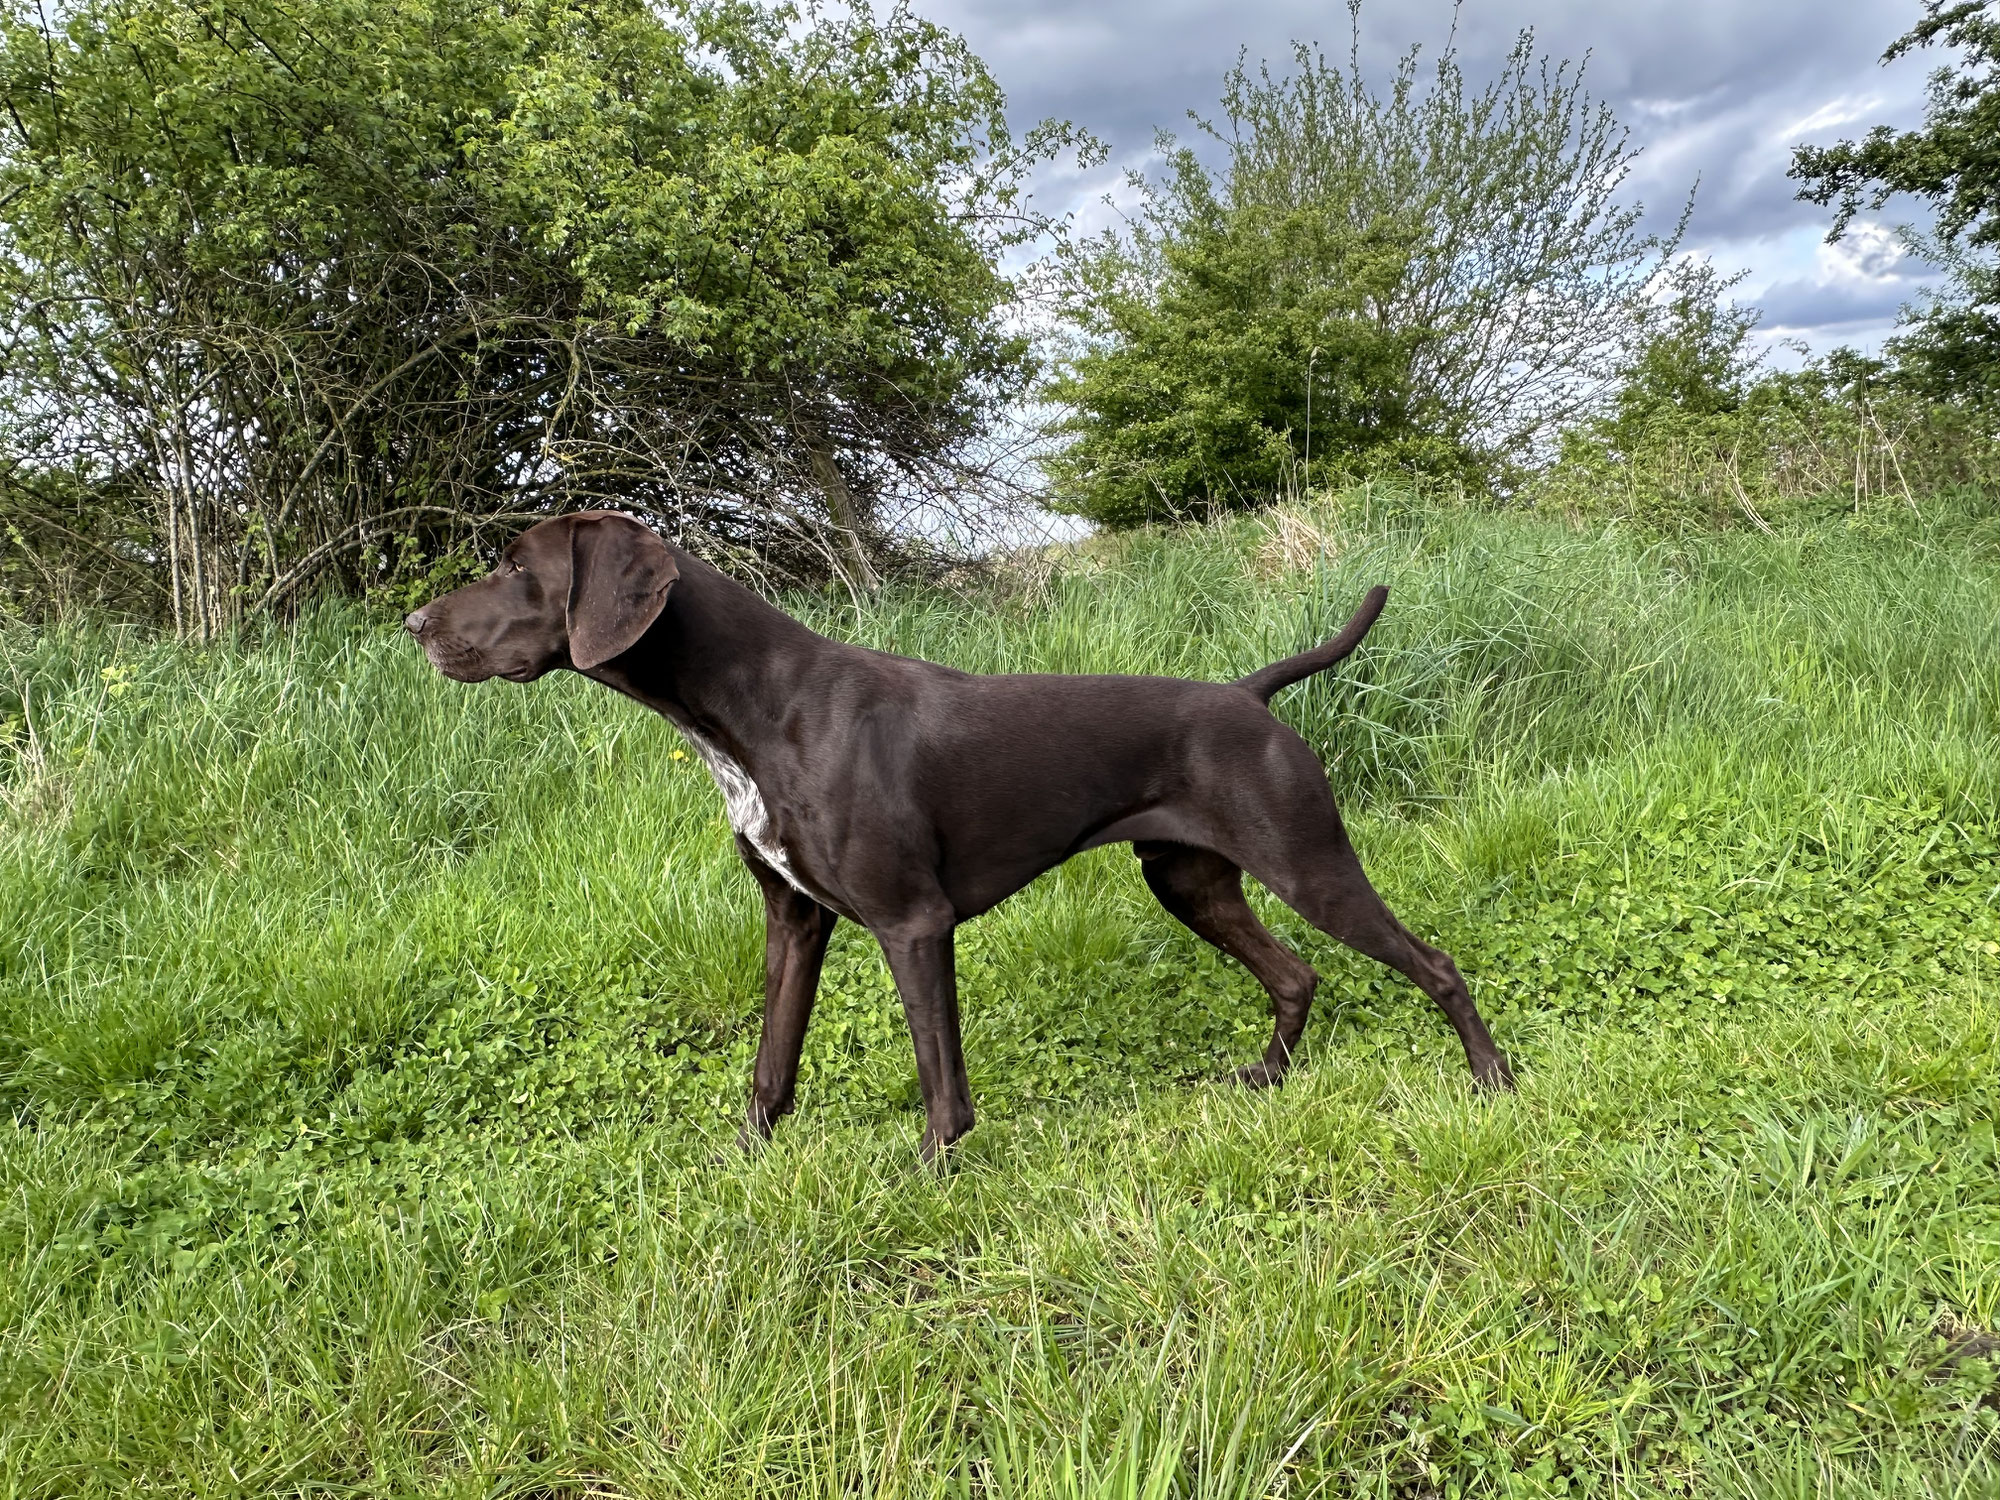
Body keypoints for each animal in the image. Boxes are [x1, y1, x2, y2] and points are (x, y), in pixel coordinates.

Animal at [410, 512, 1512, 1160]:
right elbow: (771, 1064)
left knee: (1435, 963)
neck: (757, 710)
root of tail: (1247, 694)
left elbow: (942, 1082)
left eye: (513, 566)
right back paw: (1268, 1079)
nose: (416, 625)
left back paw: (1491, 1081)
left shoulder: (912, 922)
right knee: (1295, 974)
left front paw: (936, 1177)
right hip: (1190, 882)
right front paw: (748, 1162)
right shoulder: (794, 920)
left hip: (1306, 861)